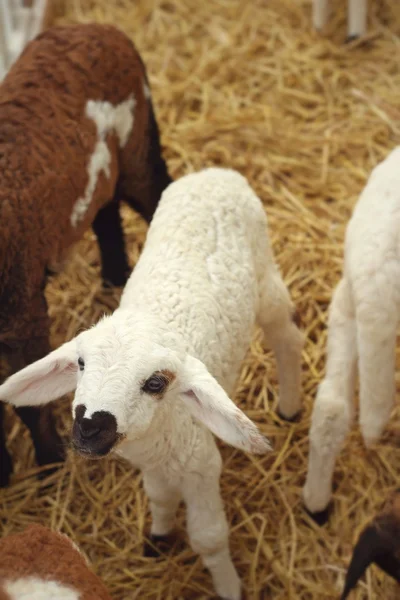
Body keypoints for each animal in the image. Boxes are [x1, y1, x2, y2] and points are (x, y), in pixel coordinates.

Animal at [0, 23, 170, 490]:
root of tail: (96, 28)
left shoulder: (21, 313)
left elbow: (26, 399)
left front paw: (49, 463)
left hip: (137, 144)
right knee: (106, 212)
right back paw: (115, 277)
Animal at [0, 168, 302, 600]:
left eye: (156, 383)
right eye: (80, 364)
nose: (89, 426)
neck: (160, 434)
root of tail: (216, 172)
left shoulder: (200, 463)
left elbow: (209, 538)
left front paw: (228, 585)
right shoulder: (153, 463)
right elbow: (158, 497)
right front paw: (159, 537)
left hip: (265, 275)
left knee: (286, 335)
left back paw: (290, 405)